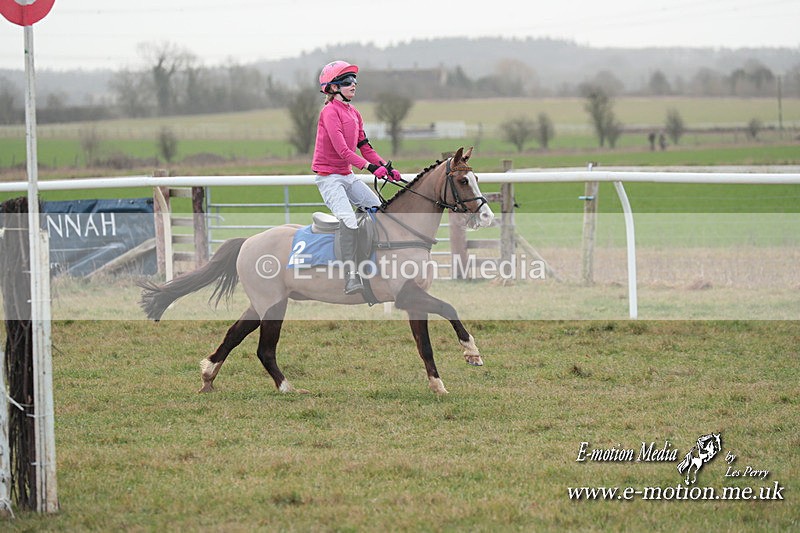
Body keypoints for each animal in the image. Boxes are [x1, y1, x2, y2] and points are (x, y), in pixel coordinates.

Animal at [139, 147, 495, 395]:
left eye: (476, 178)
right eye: (463, 180)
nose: (487, 215)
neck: (401, 231)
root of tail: (248, 241)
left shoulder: (413, 300)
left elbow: (425, 345)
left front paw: (438, 385)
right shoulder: (407, 295)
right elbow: (449, 309)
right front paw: (472, 353)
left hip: (261, 303)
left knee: (233, 335)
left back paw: (208, 376)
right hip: (273, 305)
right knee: (264, 349)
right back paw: (288, 388)